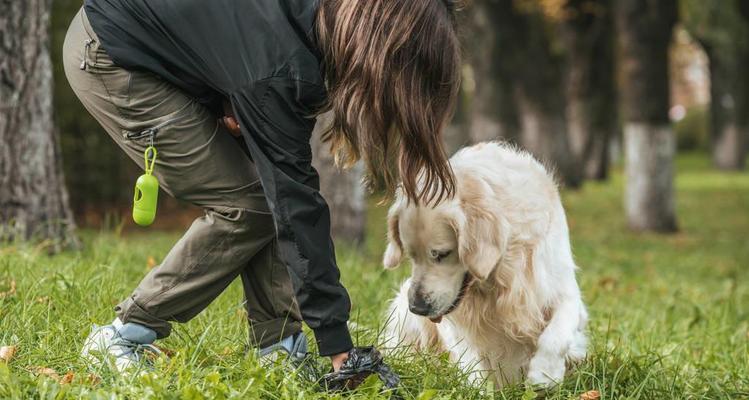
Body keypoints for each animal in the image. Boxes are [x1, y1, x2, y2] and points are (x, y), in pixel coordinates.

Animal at [382, 141, 588, 388]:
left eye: (441, 254)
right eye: (412, 256)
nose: (418, 308)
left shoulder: (561, 288)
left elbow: (557, 334)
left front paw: (544, 375)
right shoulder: (454, 320)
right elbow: (470, 359)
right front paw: (477, 389)